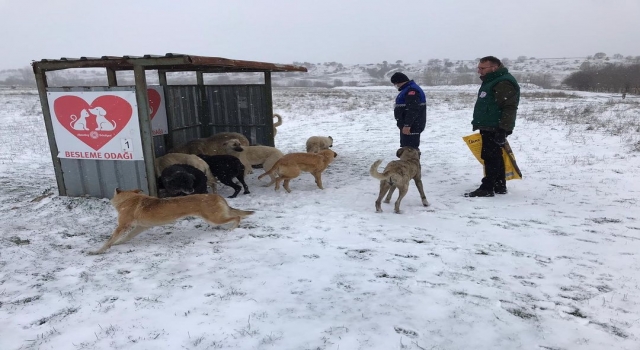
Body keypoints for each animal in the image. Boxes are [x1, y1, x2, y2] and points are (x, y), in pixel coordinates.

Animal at [89, 189, 254, 254]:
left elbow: (108, 241)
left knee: (237, 217)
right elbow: (125, 238)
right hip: (216, 217)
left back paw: (231, 229)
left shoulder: (123, 225)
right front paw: (118, 243)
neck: (130, 199)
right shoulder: (140, 227)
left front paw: (97, 251)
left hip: (214, 219)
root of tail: (217, 195)